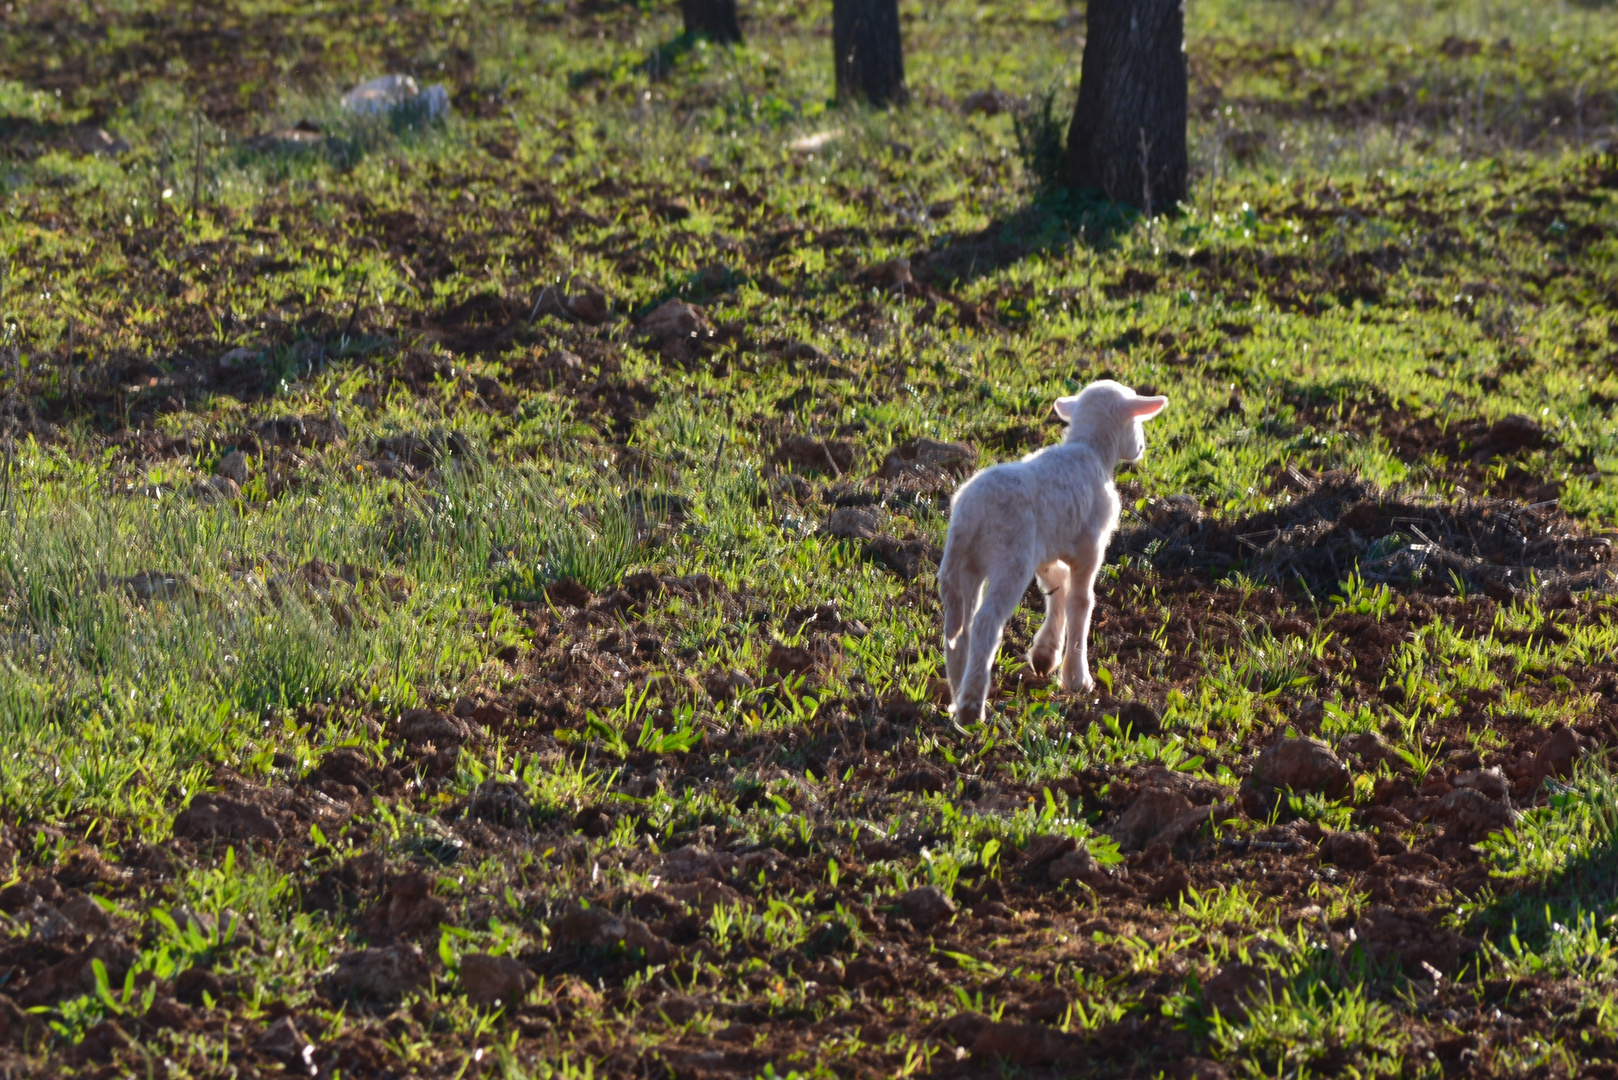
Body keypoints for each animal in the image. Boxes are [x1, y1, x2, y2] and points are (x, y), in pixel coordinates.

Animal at [938, 380, 1164, 725]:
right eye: (1137, 421)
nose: (1140, 448)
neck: (1090, 449)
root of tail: (970, 513)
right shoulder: (1090, 547)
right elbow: (1081, 602)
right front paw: (1077, 677)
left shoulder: (1045, 548)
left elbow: (1057, 585)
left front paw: (1046, 654)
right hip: (1010, 561)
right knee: (985, 622)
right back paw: (971, 708)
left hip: (963, 563)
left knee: (958, 628)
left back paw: (957, 692)